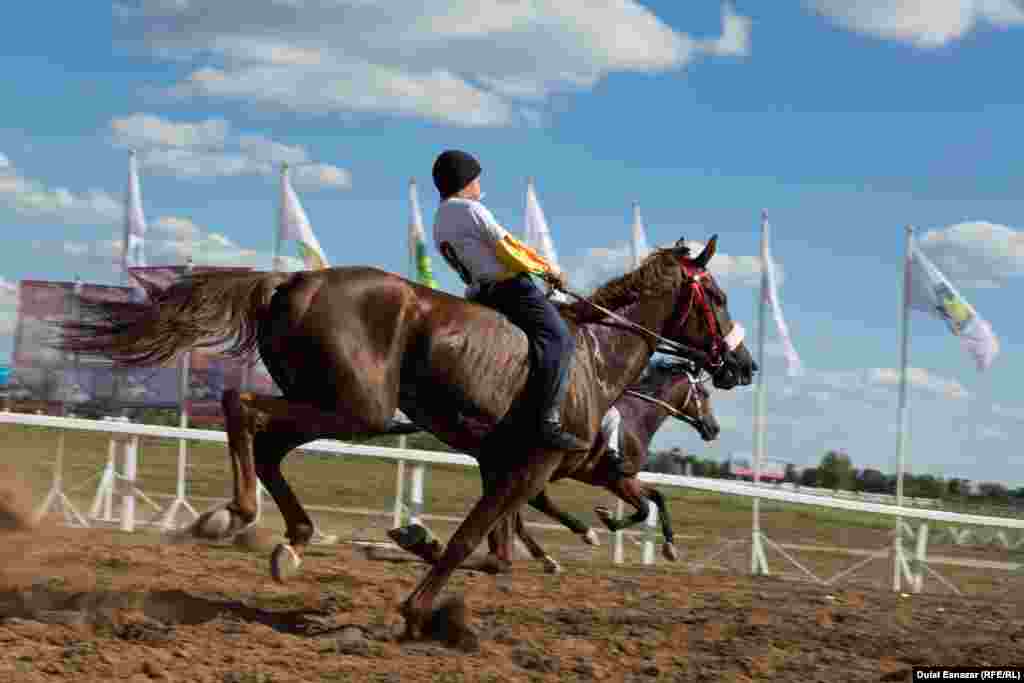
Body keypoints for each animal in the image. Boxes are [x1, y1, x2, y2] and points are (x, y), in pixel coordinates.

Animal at [387, 356, 716, 573]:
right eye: (704, 393)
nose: (713, 429)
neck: (638, 418)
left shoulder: (624, 478)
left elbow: (658, 497)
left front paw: (670, 547)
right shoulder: (615, 478)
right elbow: (645, 508)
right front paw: (607, 519)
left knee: (516, 513)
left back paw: (547, 557)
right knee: (530, 504)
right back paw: (577, 537)